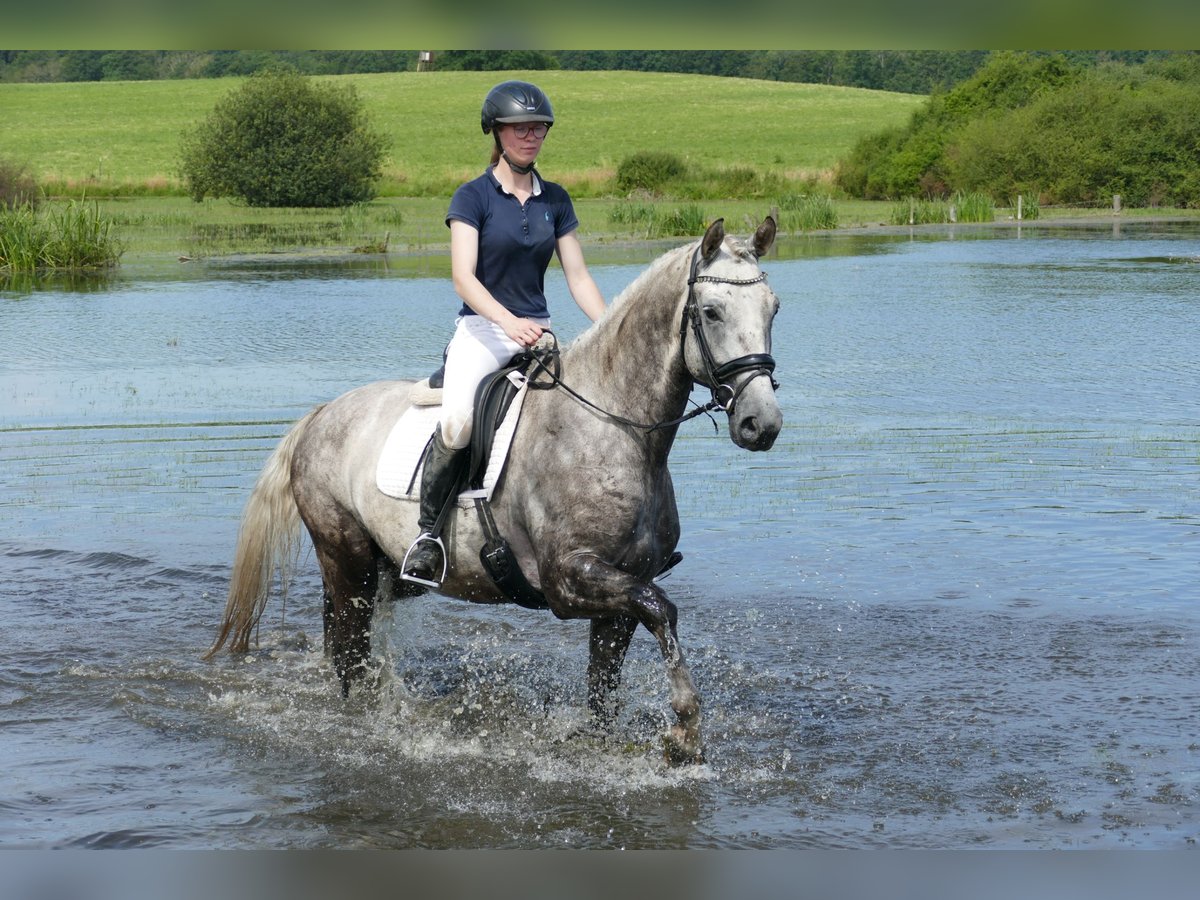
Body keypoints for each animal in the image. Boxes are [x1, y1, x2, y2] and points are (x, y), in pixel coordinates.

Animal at [206, 214, 782, 763]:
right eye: (711, 312)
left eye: (773, 309)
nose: (762, 424)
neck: (614, 428)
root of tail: (323, 413)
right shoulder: (568, 580)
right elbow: (663, 608)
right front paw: (685, 730)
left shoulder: (621, 590)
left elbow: (605, 688)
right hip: (345, 558)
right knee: (349, 653)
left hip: (381, 569)